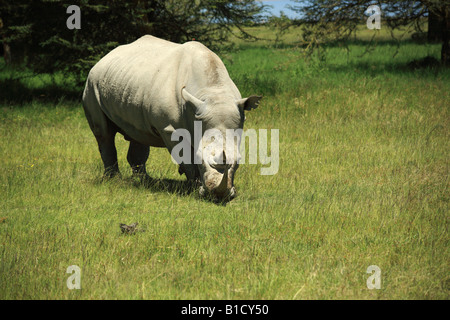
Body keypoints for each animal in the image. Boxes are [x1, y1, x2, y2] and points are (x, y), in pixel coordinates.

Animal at [82, 35, 262, 200]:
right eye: (200, 160)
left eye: (238, 161)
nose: (218, 196)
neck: (213, 92)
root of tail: (104, 57)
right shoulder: (170, 129)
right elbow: (187, 159)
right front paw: (194, 187)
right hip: (92, 83)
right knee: (104, 133)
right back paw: (114, 180)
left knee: (139, 133)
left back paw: (145, 181)